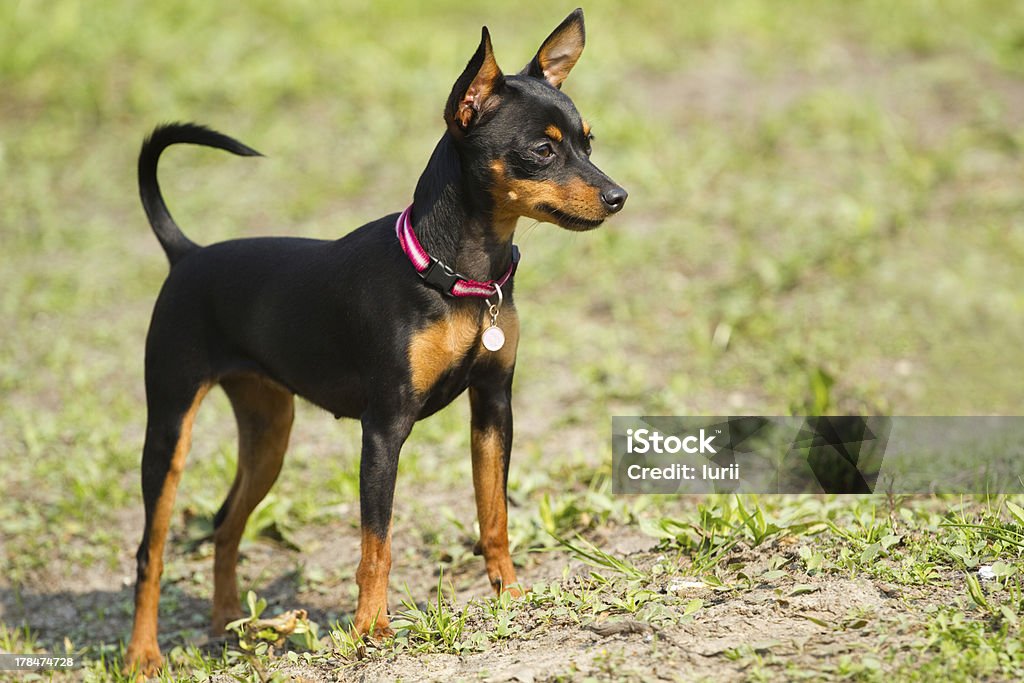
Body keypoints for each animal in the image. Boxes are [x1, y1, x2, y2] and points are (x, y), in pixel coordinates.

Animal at [124, 7, 626, 675]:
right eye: (542, 150)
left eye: (587, 142)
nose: (618, 196)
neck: (456, 274)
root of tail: (188, 254)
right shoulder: (384, 429)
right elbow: (376, 543)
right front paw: (370, 628)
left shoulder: (494, 407)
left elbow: (493, 514)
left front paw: (511, 595)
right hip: (170, 429)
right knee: (150, 551)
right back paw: (143, 654)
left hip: (269, 431)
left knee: (227, 523)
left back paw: (229, 621)